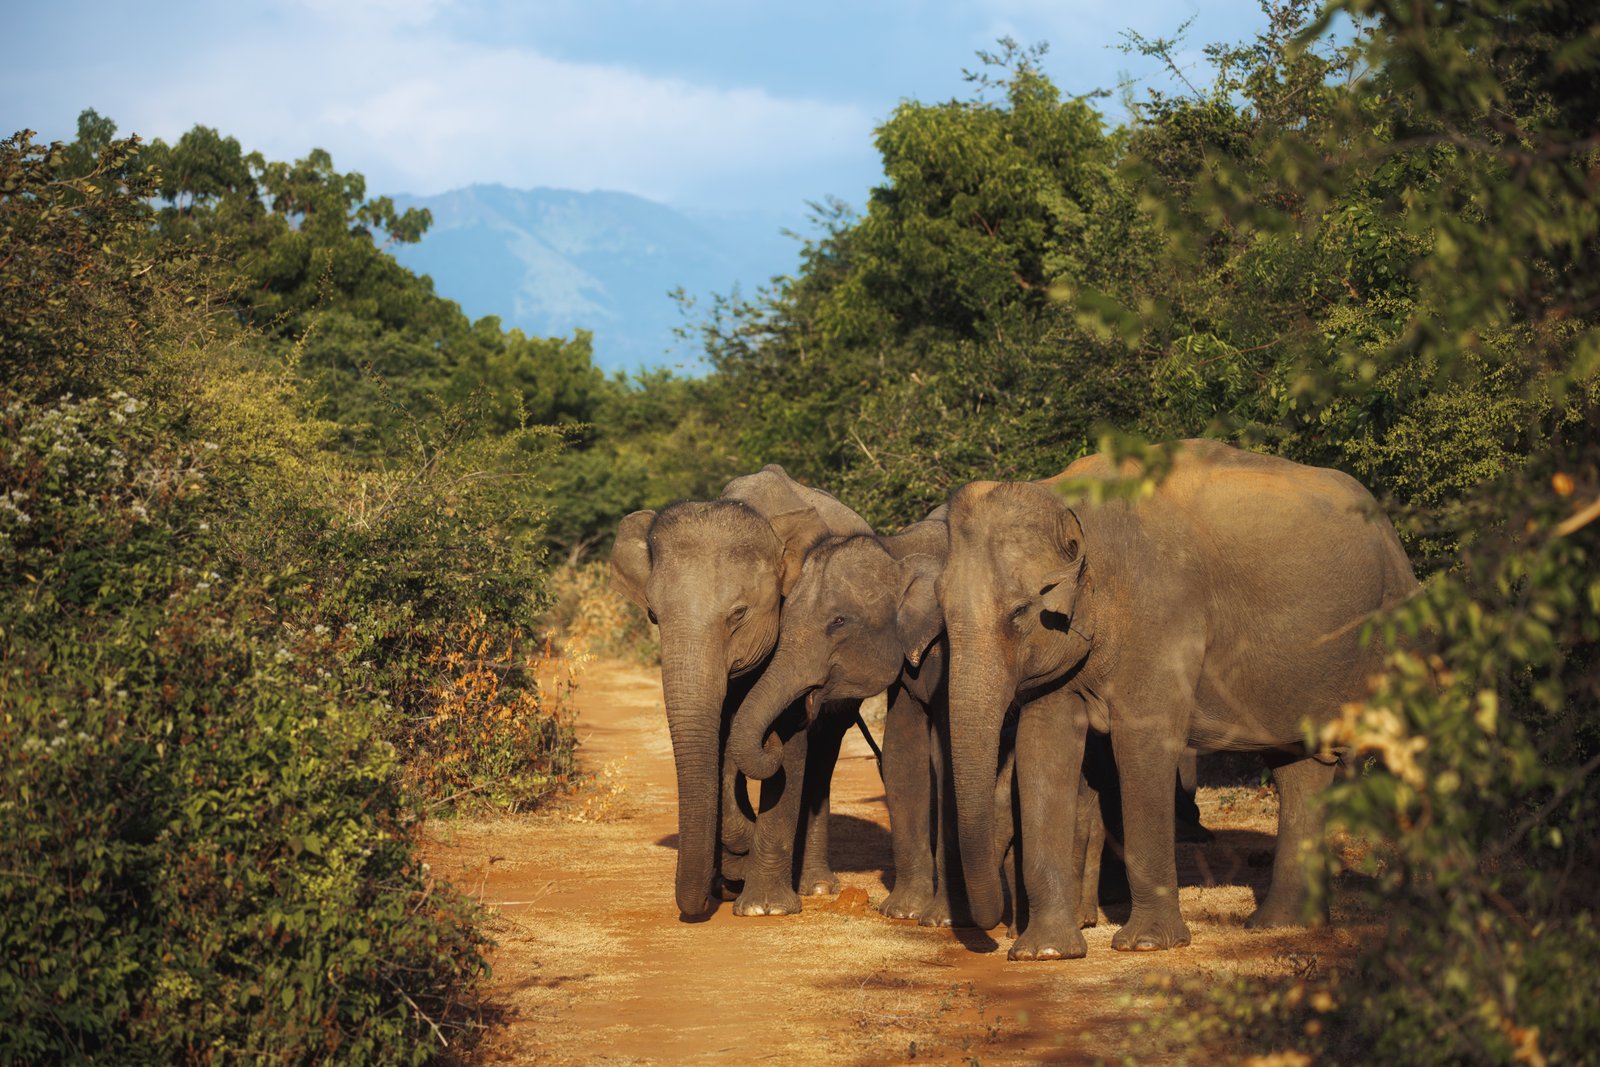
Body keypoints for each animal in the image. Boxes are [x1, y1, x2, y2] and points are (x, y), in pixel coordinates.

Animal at [610, 464, 873, 918]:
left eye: (738, 614)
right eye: (653, 616)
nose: (697, 904)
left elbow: (789, 736)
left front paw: (764, 908)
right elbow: (717, 738)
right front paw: (735, 870)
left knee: (824, 754)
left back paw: (816, 886)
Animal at [938, 439, 1418, 957]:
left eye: (1021, 611)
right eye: (940, 608)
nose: (993, 929)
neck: (1068, 501)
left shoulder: (1163, 611)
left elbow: (1142, 741)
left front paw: (1146, 945)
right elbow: (1042, 745)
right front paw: (1043, 952)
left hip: (1397, 620)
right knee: (1300, 770)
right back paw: (1279, 925)